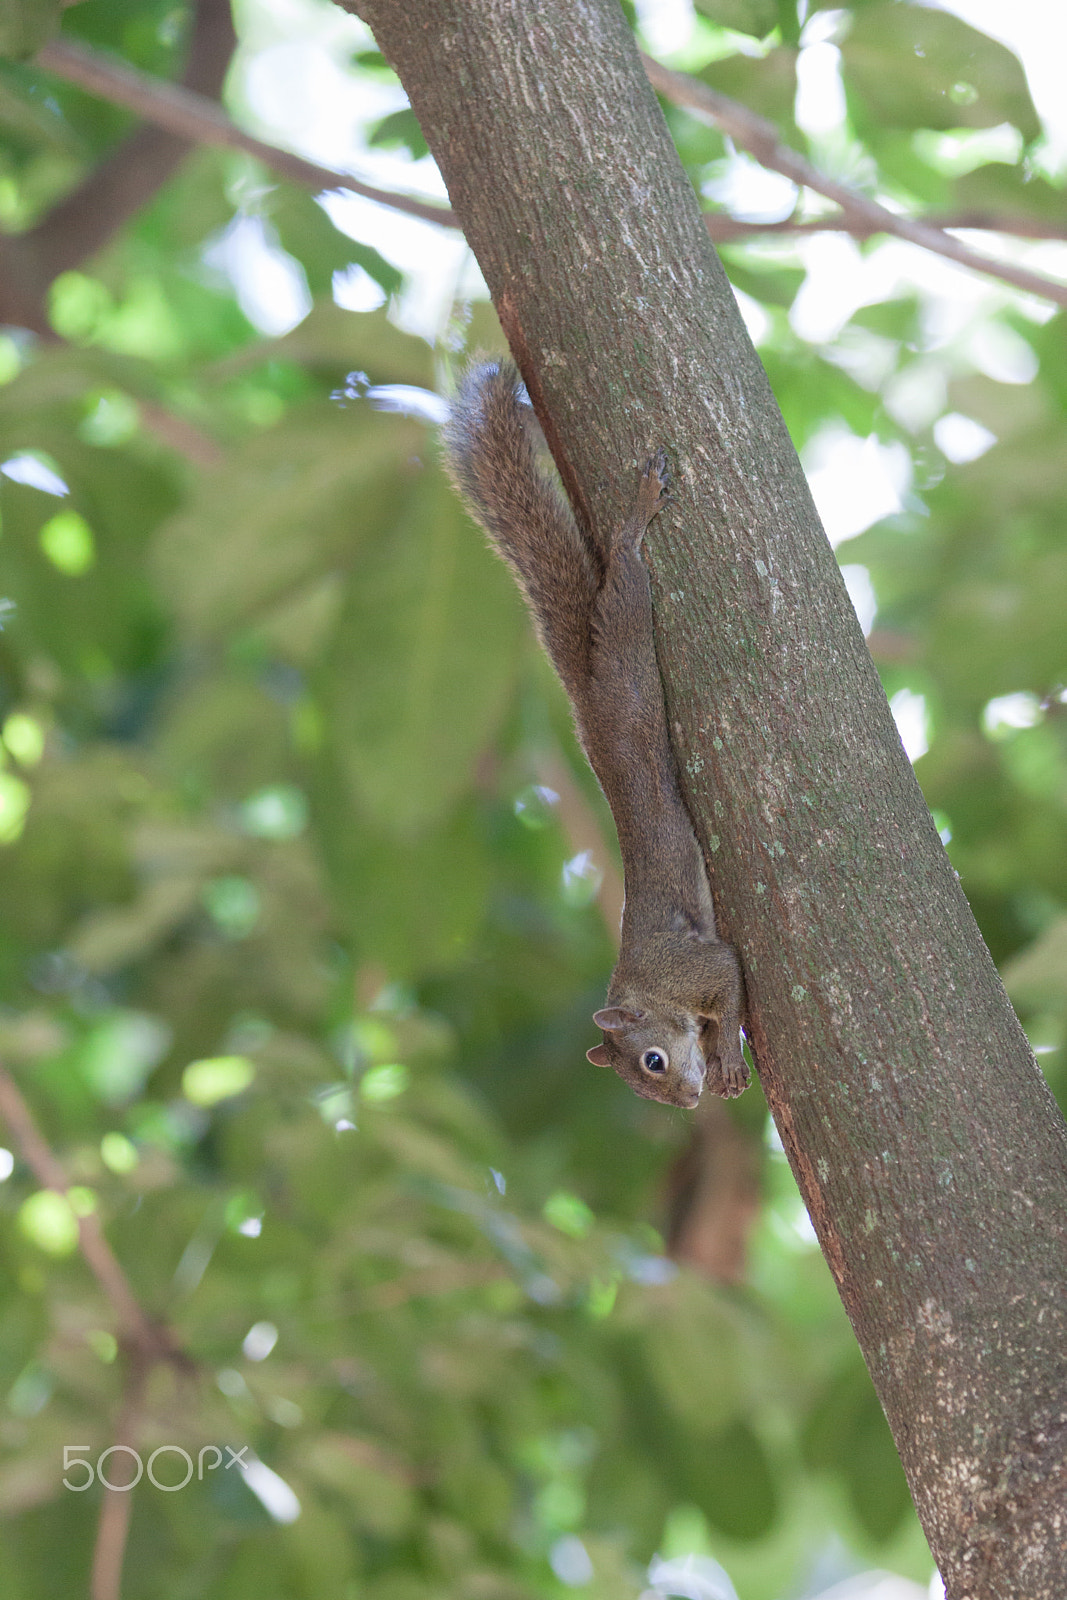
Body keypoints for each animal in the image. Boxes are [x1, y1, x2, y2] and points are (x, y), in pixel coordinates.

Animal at [442, 359, 748, 1108]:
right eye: (645, 1086)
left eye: (652, 1062)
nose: (687, 1102)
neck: (646, 992)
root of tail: (588, 700)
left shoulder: (696, 964)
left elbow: (730, 981)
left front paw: (728, 1056)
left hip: (627, 668)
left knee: (626, 579)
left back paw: (635, 518)